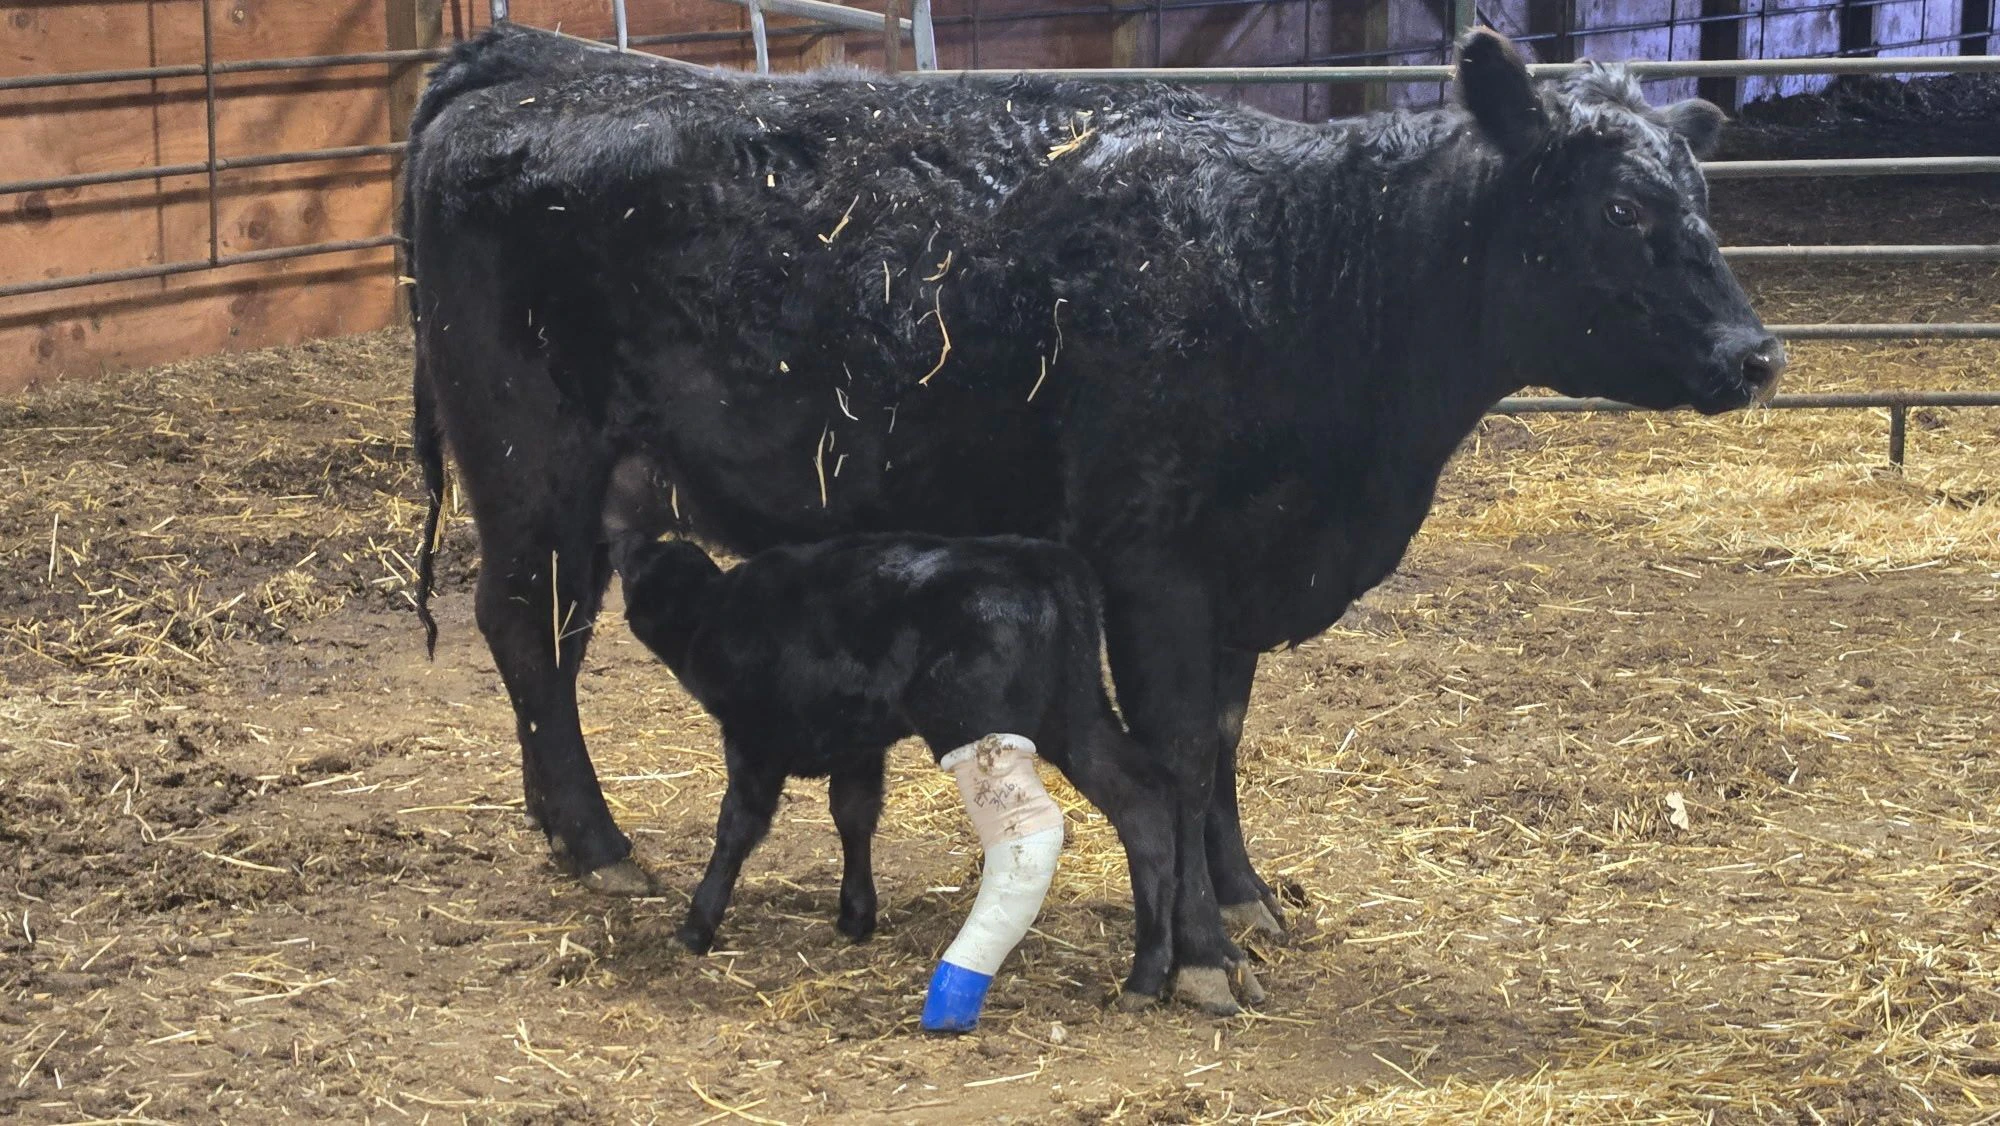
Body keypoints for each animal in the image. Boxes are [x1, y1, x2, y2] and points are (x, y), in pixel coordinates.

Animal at [403, 24, 1782, 1015]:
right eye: (1618, 212)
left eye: (1703, 198)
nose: (1755, 354)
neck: (1299, 261)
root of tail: (527, 60)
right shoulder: (1154, 556)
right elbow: (1174, 747)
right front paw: (1202, 950)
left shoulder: (1235, 566)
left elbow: (1221, 737)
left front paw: (1242, 897)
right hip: (531, 462)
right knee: (523, 628)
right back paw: (597, 839)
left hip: (598, 482)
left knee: (559, 632)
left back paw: (569, 830)